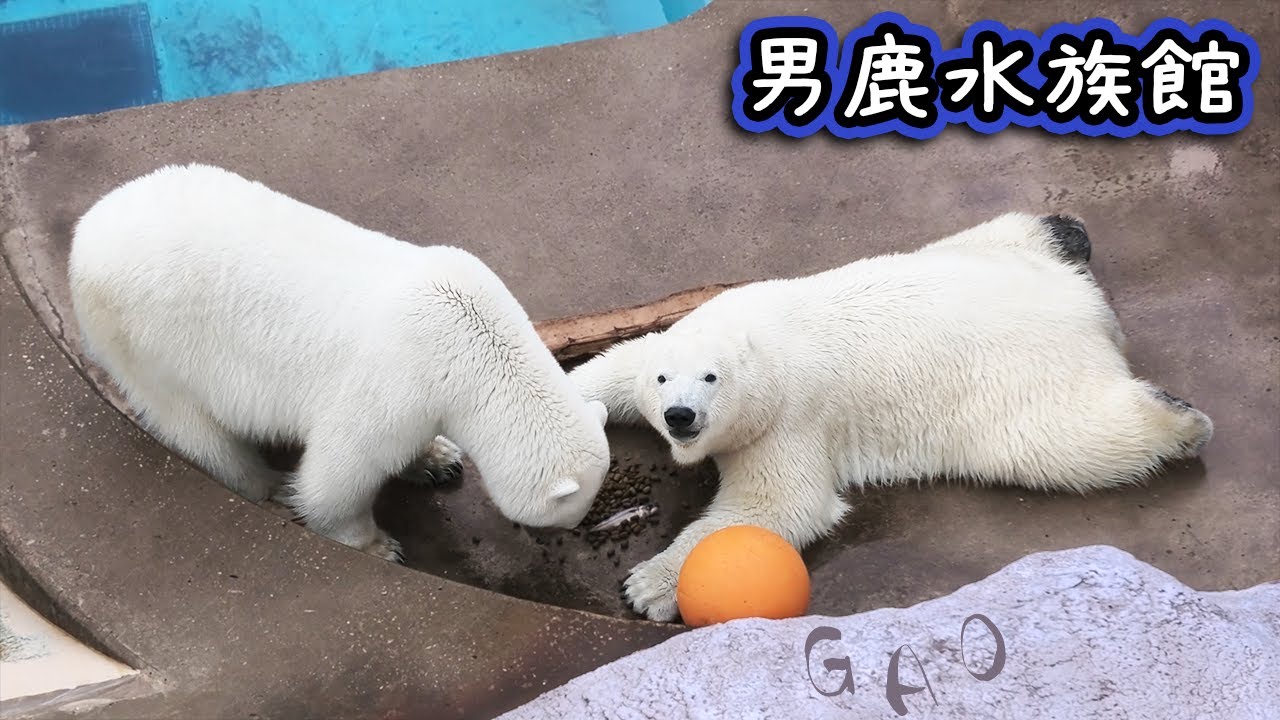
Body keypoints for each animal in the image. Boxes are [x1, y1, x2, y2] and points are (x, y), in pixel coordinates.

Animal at [68, 163, 611, 561]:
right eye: (568, 512)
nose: (563, 535)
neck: (475, 341)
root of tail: (85, 232)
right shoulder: (396, 377)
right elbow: (342, 472)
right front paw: (378, 546)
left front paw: (438, 459)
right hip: (145, 336)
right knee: (195, 427)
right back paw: (264, 485)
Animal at [570, 212, 1214, 622]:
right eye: (663, 380)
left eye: (711, 378)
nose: (679, 416)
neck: (757, 336)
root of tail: (1088, 313)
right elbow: (613, 368)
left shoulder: (787, 417)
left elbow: (780, 504)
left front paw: (648, 584)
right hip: (981, 252)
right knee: (1022, 229)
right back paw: (1069, 232)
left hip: (1018, 390)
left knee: (1065, 441)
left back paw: (1181, 419)